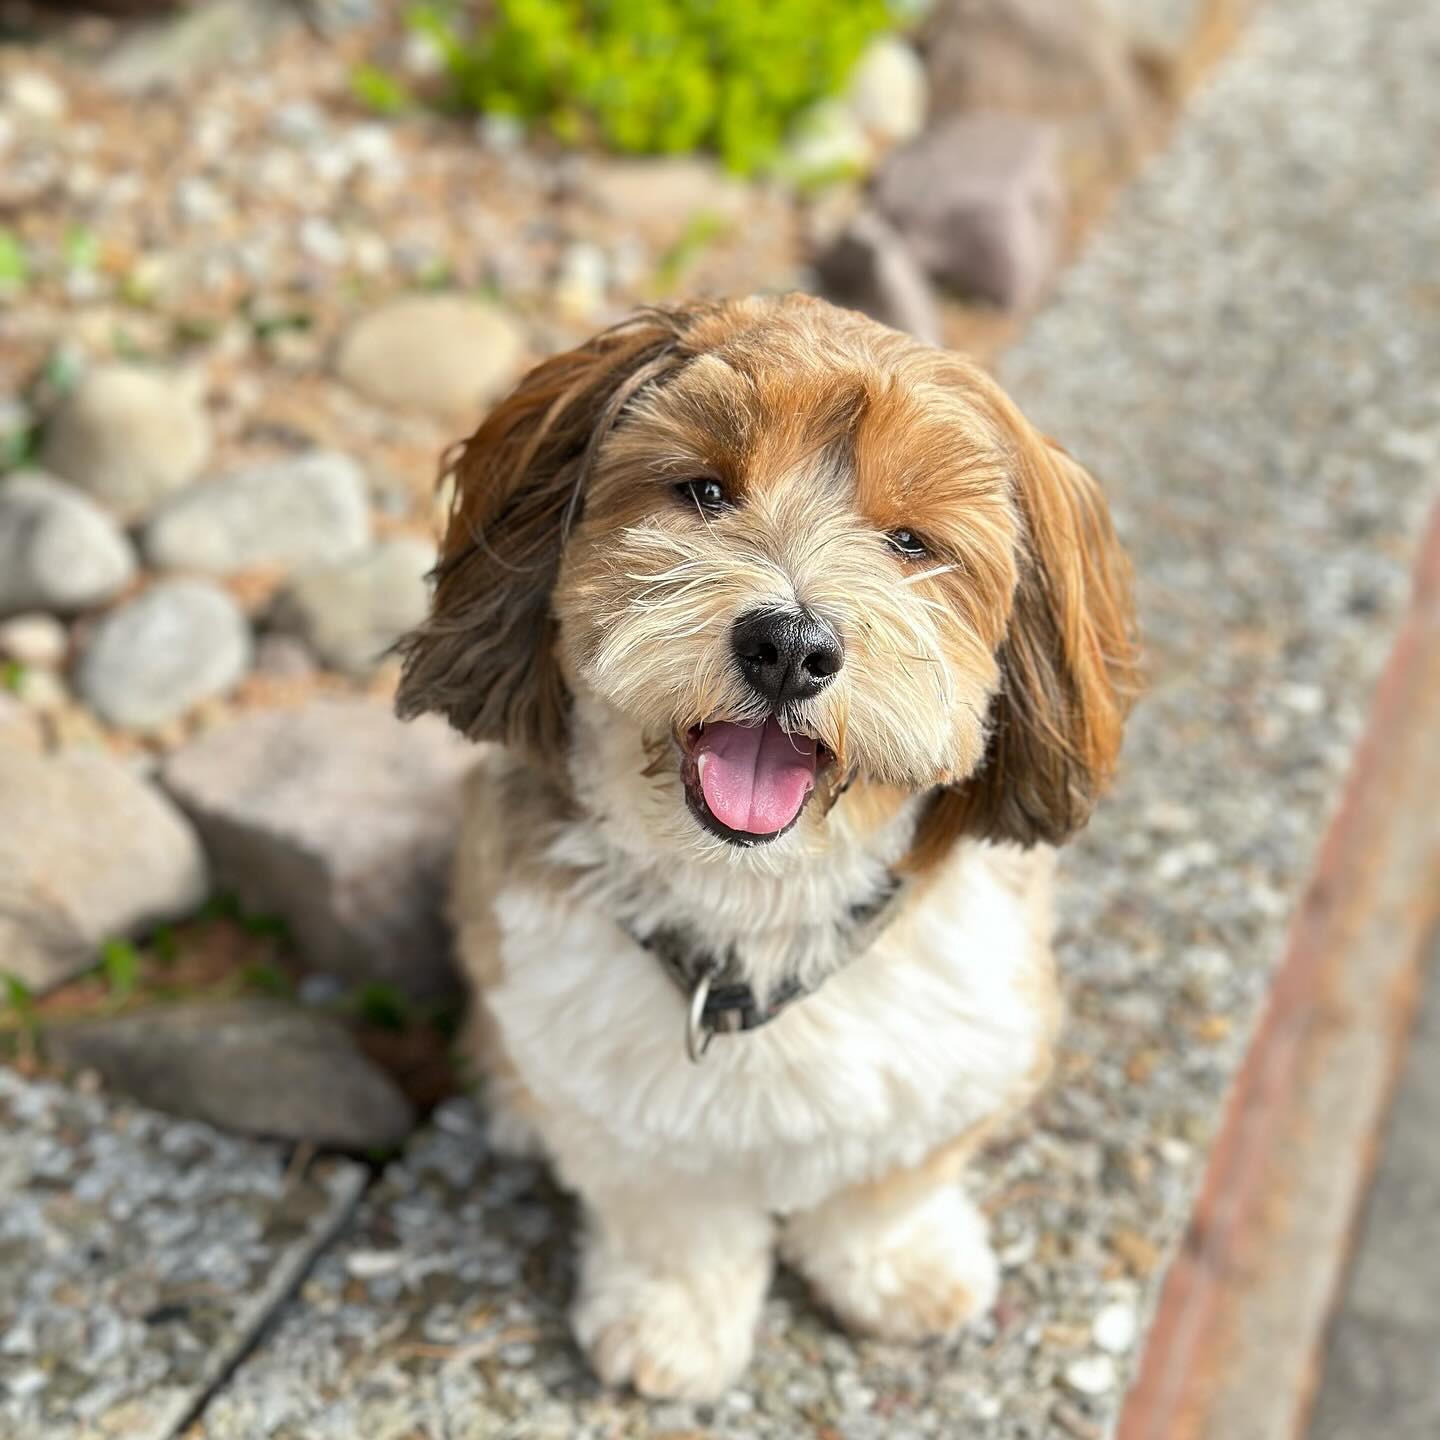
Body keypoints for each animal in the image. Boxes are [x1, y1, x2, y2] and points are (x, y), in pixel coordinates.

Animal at [396, 293, 1139, 1400]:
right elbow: (677, 1223)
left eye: (911, 542)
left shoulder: (967, 1054)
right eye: (704, 491)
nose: (789, 645)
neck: (756, 909)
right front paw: (671, 1324)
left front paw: (899, 1269)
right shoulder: (618, 1102)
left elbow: (888, 1185)